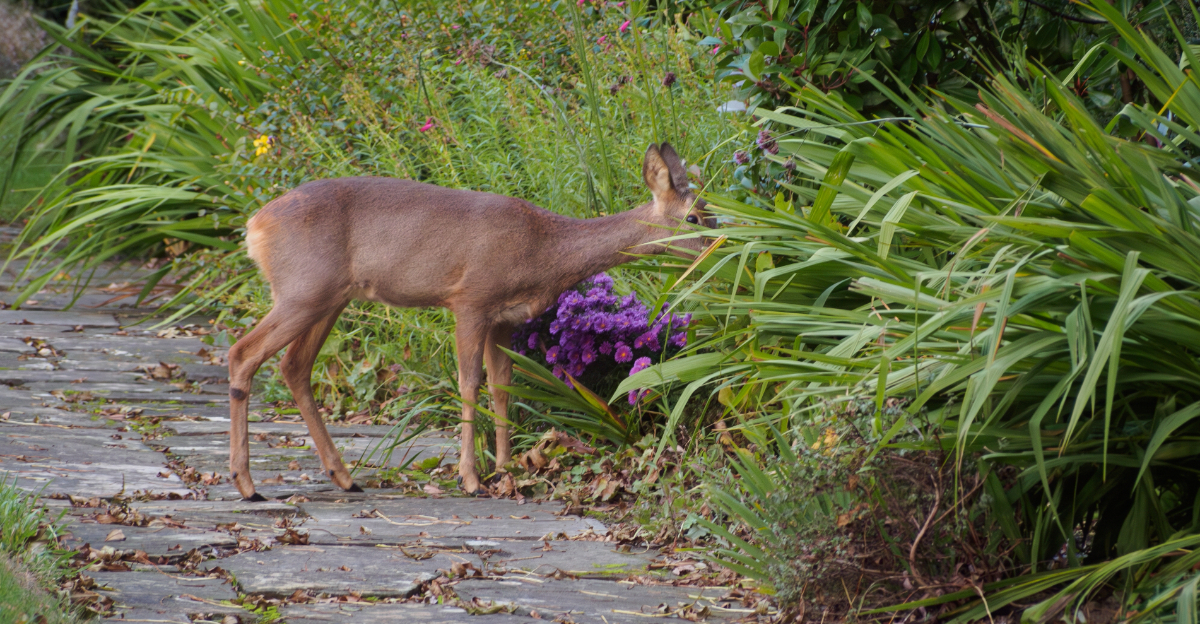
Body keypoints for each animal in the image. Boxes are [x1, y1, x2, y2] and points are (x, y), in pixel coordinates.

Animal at [227, 142, 711, 500]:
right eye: (693, 218)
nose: (719, 248)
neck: (544, 250)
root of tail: (254, 226)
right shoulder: (470, 299)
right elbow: (468, 383)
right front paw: (471, 479)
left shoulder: (504, 319)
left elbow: (502, 386)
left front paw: (507, 468)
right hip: (303, 289)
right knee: (242, 353)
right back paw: (248, 486)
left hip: (327, 298)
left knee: (293, 366)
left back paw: (343, 478)